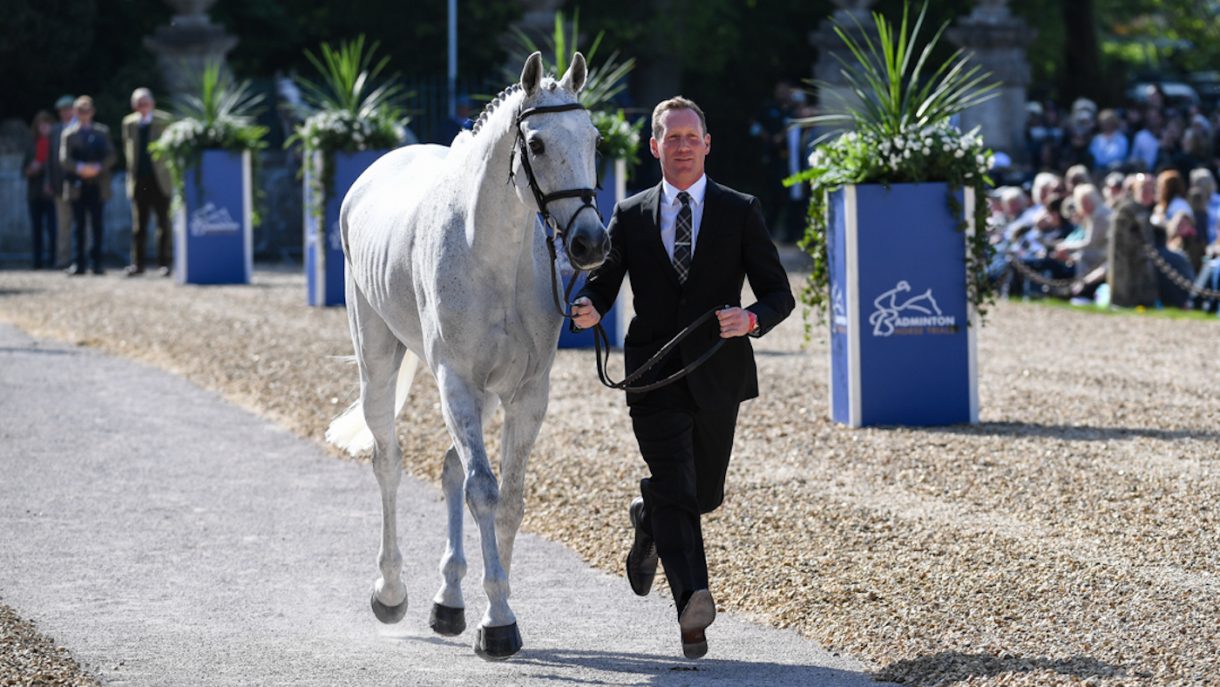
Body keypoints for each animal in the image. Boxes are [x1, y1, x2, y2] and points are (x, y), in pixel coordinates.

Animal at [324, 52, 608, 659]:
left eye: (595, 139)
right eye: (538, 144)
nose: (591, 243)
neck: (492, 256)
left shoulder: (526, 394)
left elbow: (509, 498)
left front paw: (491, 610)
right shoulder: (455, 380)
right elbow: (483, 489)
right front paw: (498, 621)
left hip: (480, 394)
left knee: (451, 466)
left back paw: (448, 601)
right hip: (379, 365)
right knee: (389, 463)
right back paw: (391, 592)